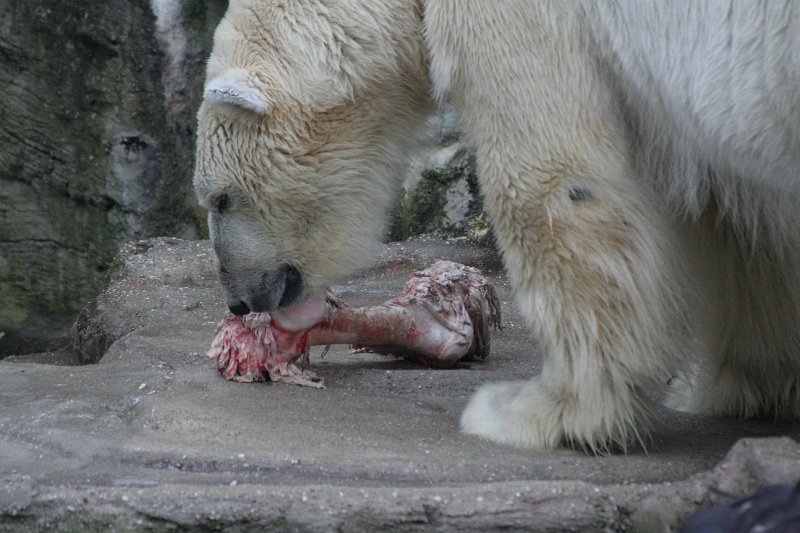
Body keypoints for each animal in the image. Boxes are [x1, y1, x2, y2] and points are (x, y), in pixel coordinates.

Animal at [194, 0, 800, 454]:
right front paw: (730, 386)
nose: (239, 301)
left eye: (220, 198)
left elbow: (550, 182)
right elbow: (740, 218)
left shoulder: (527, 19)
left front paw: (536, 412)